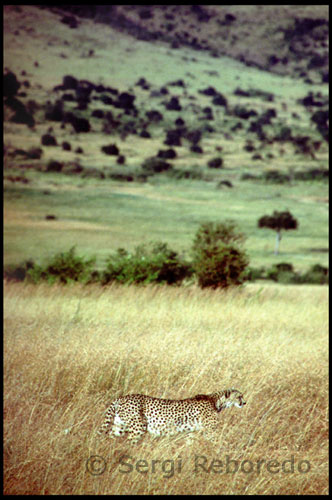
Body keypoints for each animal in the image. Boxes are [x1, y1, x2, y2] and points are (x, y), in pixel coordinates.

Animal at [97, 386, 245, 442]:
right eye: (239, 396)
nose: (244, 402)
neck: (216, 401)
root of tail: (120, 398)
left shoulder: (192, 431)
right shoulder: (210, 431)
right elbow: (218, 443)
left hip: (119, 426)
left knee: (110, 438)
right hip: (138, 427)